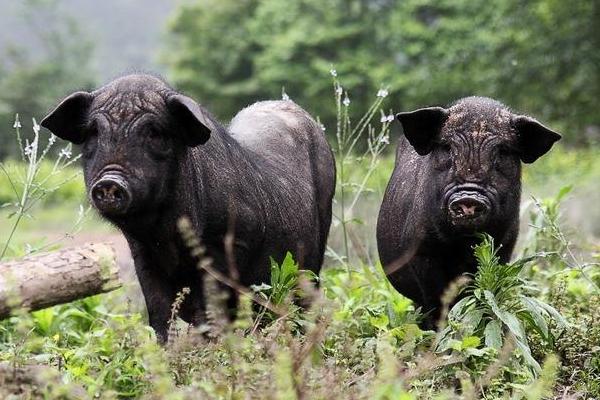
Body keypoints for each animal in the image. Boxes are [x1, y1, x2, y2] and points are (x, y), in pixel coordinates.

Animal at [41, 73, 338, 342]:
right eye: (94, 132)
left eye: (154, 132)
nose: (109, 181)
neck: (165, 234)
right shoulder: (143, 255)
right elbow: (159, 311)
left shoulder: (228, 245)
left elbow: (210, 311)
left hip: (315, 253)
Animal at [378, 96, 560, 328]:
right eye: (447, 148)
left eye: (502, 152)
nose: (468, 198)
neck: (461, 243)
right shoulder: (420, 248)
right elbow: (436, 297)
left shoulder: (504, 246)